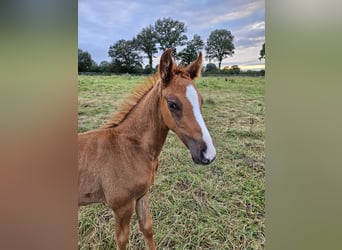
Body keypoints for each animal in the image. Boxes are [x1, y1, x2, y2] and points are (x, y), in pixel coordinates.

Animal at [79, 49, 215, 250]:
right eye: (172, 104)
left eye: (201, 101)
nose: (208, 154)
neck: (130, 148)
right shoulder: (122, 206)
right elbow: (122, 239)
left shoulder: (142, 195)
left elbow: (147, 228)